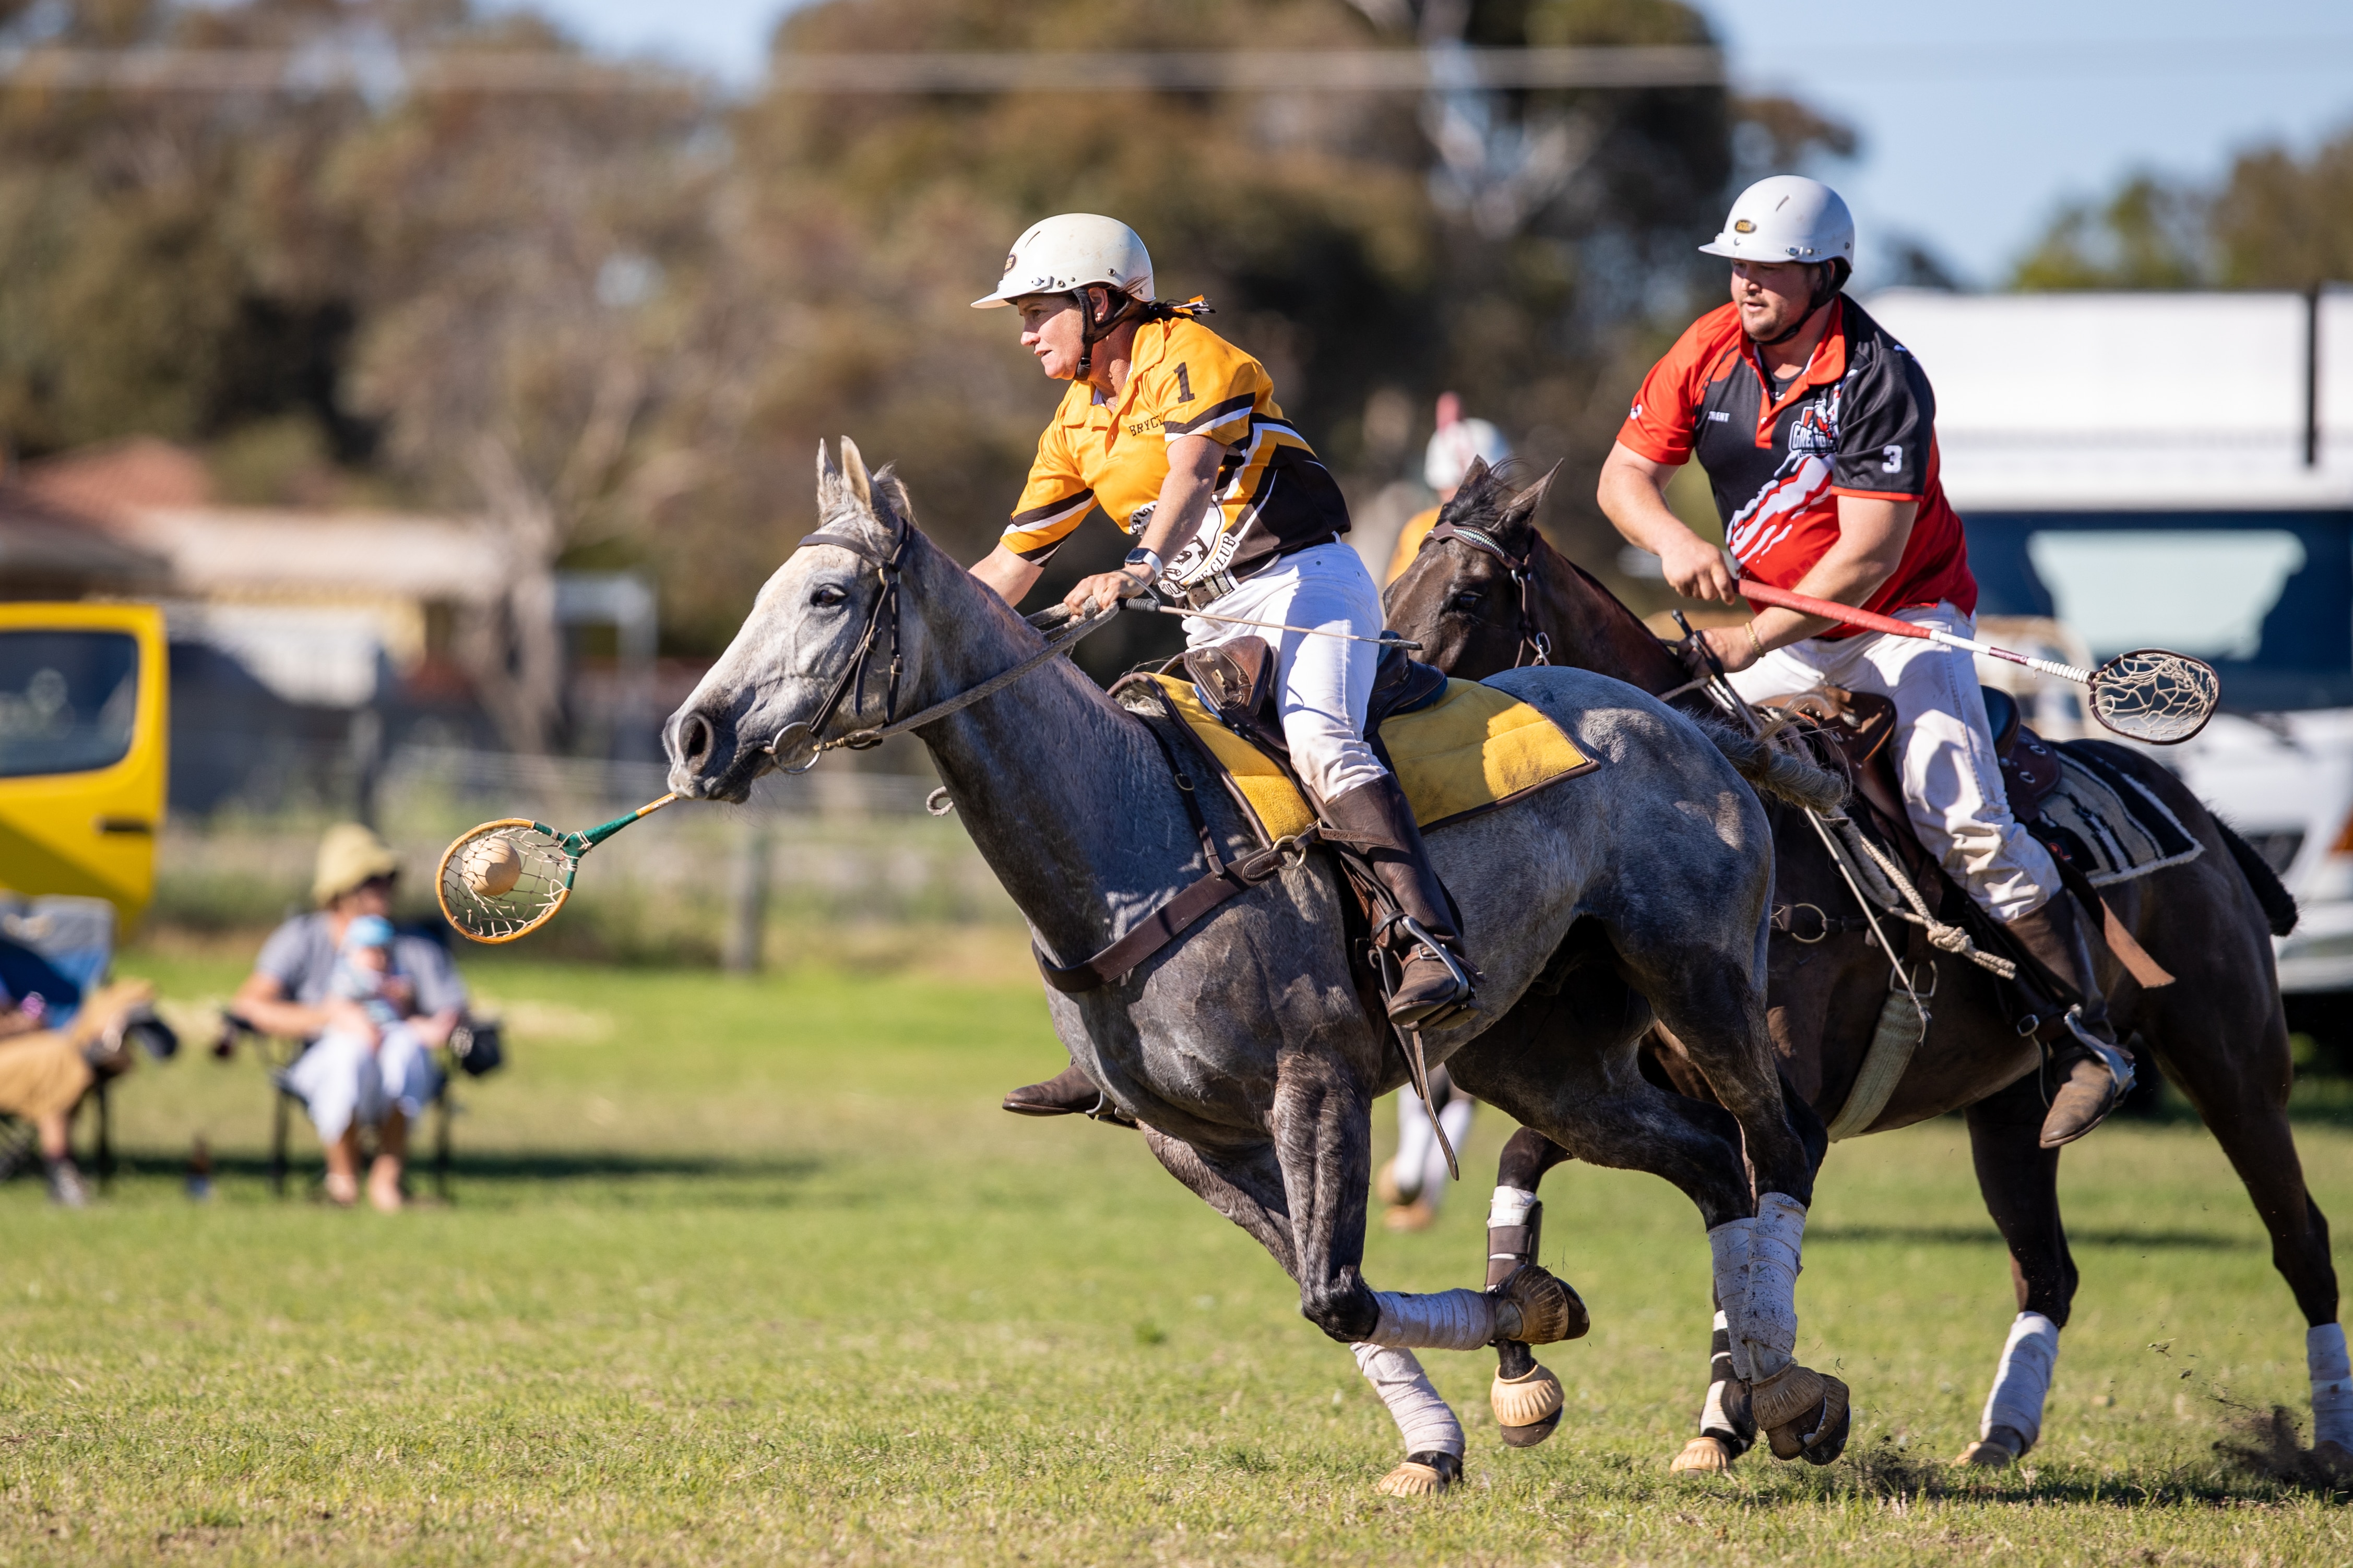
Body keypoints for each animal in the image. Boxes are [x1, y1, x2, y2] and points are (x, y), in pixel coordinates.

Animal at [665, 439, 1859, 1495]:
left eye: (827, 596)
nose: (692, 736)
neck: (1126, 833)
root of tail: (1690, 725)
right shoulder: (1189, 1138)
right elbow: (1325, 1287)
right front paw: (1473, 1394)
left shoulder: (1315, 1081)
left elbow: (1336, 1292)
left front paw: (1515, 1338)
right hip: (1546, 1061)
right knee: (1709, 1161)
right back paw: (1748, 1390)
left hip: (1697, 976)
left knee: (1778, 1140)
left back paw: (1788, 1393)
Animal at [1383, 458, 2346, 1476]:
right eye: (1395, 582)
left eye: (1467, 594)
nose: (1378, 694)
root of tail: (2190, 805)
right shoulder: (1638, 1084)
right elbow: (1527, 1159)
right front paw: (1524, 1369)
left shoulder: (1781, 1106)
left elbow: (1745, 1238)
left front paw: (1739, 1416)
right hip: (2010, 1110)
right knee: (2047, 1267)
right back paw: (2000, 1433)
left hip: (2232, 1060)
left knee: (2302, 1240)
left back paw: (2330, 1438)